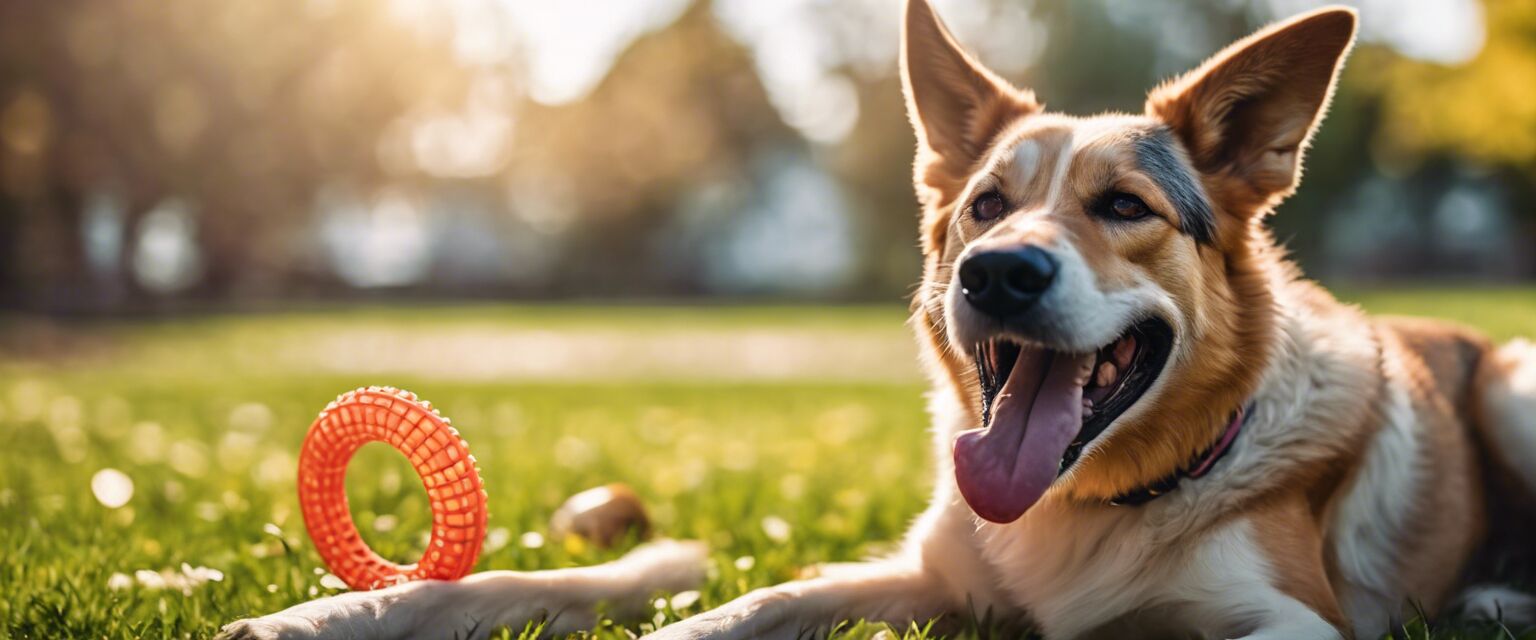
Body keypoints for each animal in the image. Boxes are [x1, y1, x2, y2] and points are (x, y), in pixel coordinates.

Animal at [222, 2, 1536, 635]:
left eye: (1125, 206)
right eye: (987, 205)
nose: (1000, 274)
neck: (1088, 508)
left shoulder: (1291, 624)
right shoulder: (924, 578)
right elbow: (744, 603)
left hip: (1515, 383)